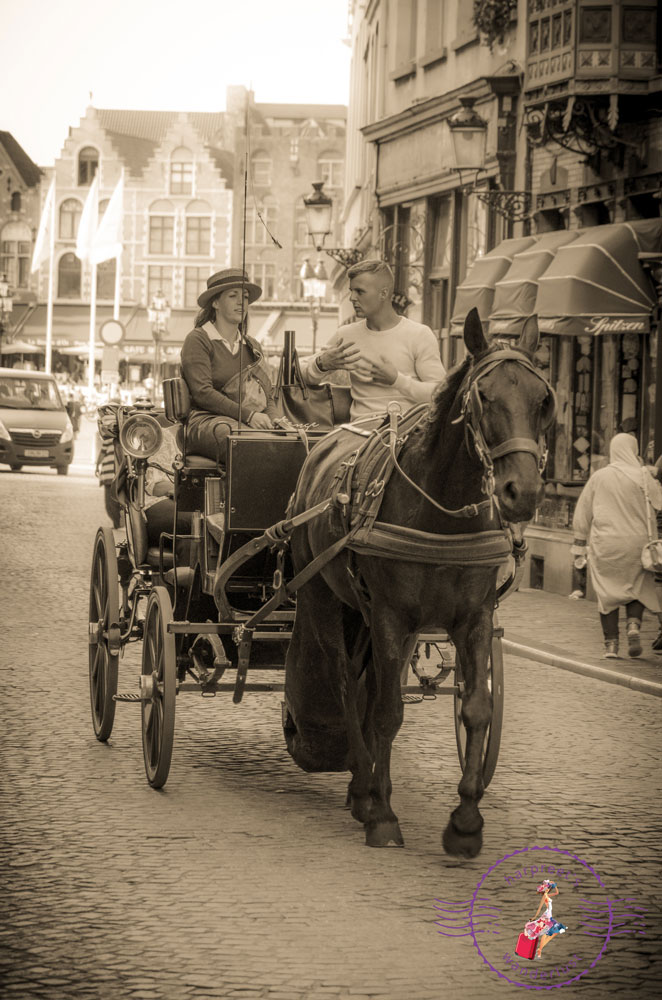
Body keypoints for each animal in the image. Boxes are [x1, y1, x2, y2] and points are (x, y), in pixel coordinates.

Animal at [284, 308, 556, 856]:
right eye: (483, 396)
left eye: (543, 400)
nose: (522, 493)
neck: (442, 514)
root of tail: (322, 445)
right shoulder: (393, 615)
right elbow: (388, 711)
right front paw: (383, 816)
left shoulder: (474, 617)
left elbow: (476, 710)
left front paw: (466, 823)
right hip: (324, 598)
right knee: (346, 684)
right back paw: (364, 787)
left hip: (368, 616)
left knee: (367, 688)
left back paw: (362, 787)